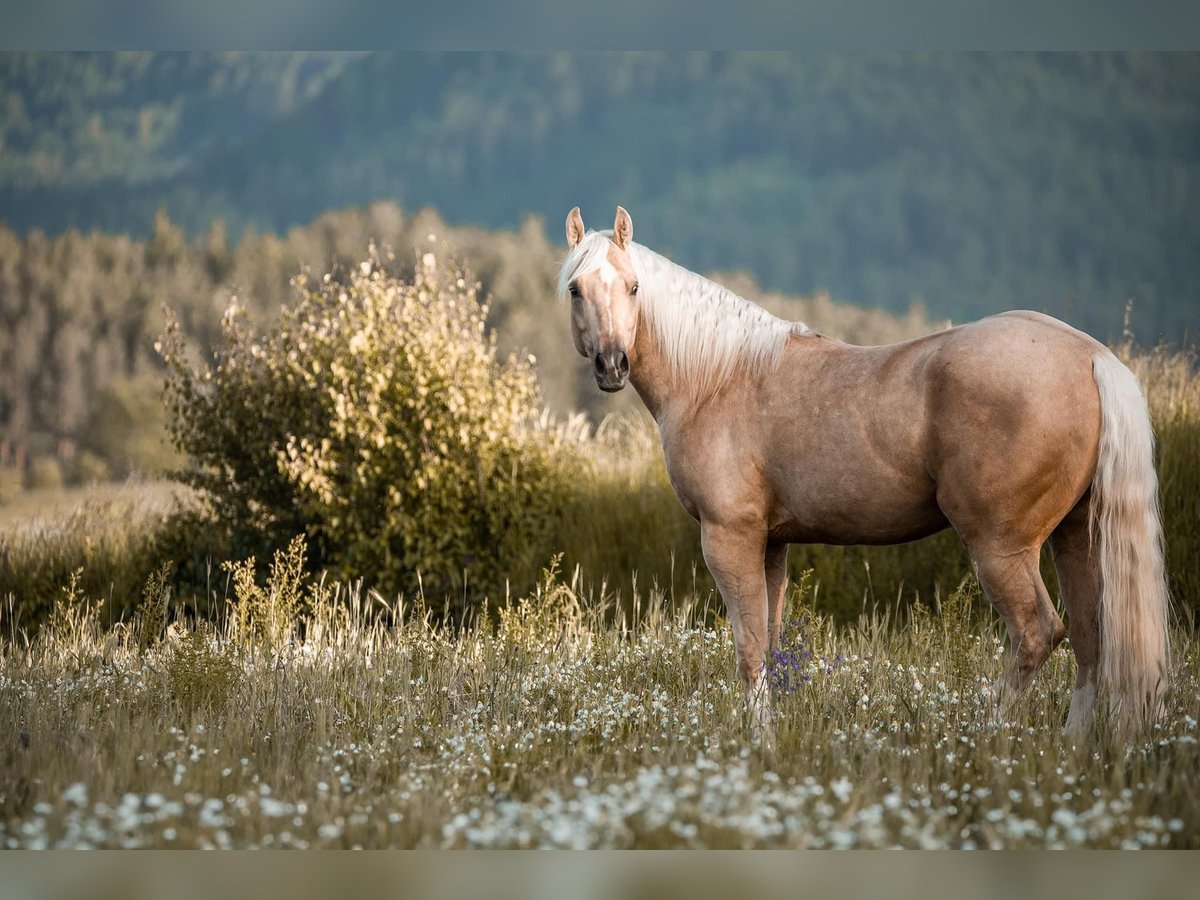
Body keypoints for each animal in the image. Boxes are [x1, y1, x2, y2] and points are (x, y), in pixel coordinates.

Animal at [561, 207, 1171, 744]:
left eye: (634, 287)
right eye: (575, 289)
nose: (612, 364)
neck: (719, 377)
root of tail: (1090, 356)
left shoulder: (728, 537)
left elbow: (749, 648)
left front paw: (757, 741)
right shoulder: (771, 544)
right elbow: (772, 643)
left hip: (1001, 547)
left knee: (1037, 634)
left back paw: (986, 738)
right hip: (1076, 536)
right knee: (1092, 639)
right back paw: (1073, 745)